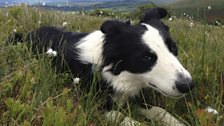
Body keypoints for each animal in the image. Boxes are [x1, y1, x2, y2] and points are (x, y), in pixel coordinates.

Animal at [9, 7, 194, 126]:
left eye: (174, 49)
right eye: (146, 57)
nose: (188, 85)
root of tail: (29, 33)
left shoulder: (134, 98)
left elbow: (161, 111)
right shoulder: (98, 106)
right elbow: (127, 120)